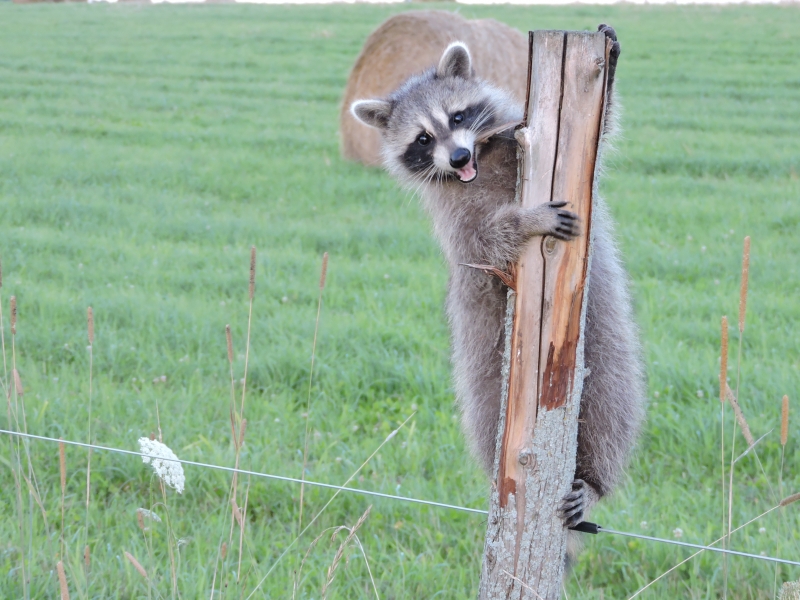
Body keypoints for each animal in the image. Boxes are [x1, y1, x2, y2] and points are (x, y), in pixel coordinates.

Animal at [351, 25, 645, 529]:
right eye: (423, 139)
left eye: (458, 115)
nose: (458, 156)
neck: (477, 166)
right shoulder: (456, 217)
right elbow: (483, 240)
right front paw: (525, 221)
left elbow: (600, 135)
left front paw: (611, 64)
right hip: (481, 344)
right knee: (488, 411)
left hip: (603, 333)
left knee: (612, 403)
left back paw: (595, 482)